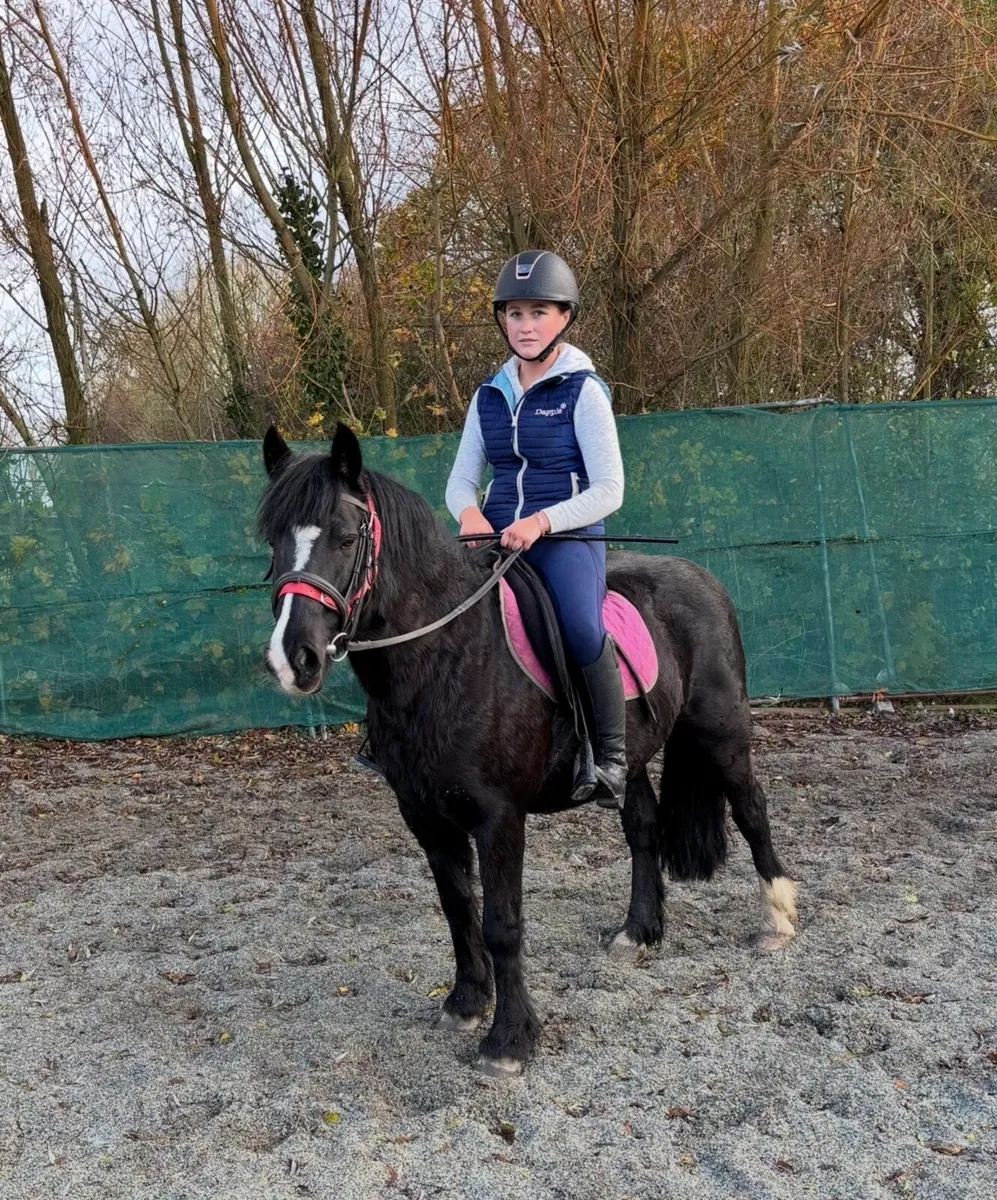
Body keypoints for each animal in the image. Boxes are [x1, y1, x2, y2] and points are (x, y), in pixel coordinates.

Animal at [258, 423, 797, 1077]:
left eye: (344, 537)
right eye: (272, 540)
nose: (294, 660)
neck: (448, 655)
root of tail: (703, 578)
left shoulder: (498, 815)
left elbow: (502, 923)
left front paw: (509, 1041)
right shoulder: (424, 814)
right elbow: (457, 908)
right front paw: (466, 1003)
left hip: (720, 732)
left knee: (751, 810)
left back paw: (778, 918)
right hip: (633, 757)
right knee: (643, 828)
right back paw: (638, 931)